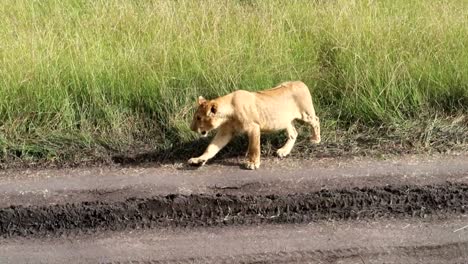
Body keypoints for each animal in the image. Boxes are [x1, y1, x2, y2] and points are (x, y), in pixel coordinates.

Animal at [188, 80, 320, 169]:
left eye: (198, 118)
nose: (191, 128)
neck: (228, 112)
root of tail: (300, 82)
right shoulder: (225, 132)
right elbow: (211, 148)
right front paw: (199, 160)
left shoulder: (253, 127)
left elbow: (254, 147)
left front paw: (252, 163)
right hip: (285, 120)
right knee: (293, 133)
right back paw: (283, 151)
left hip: (305, 114)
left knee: (316, 120)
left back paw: (315, 139)